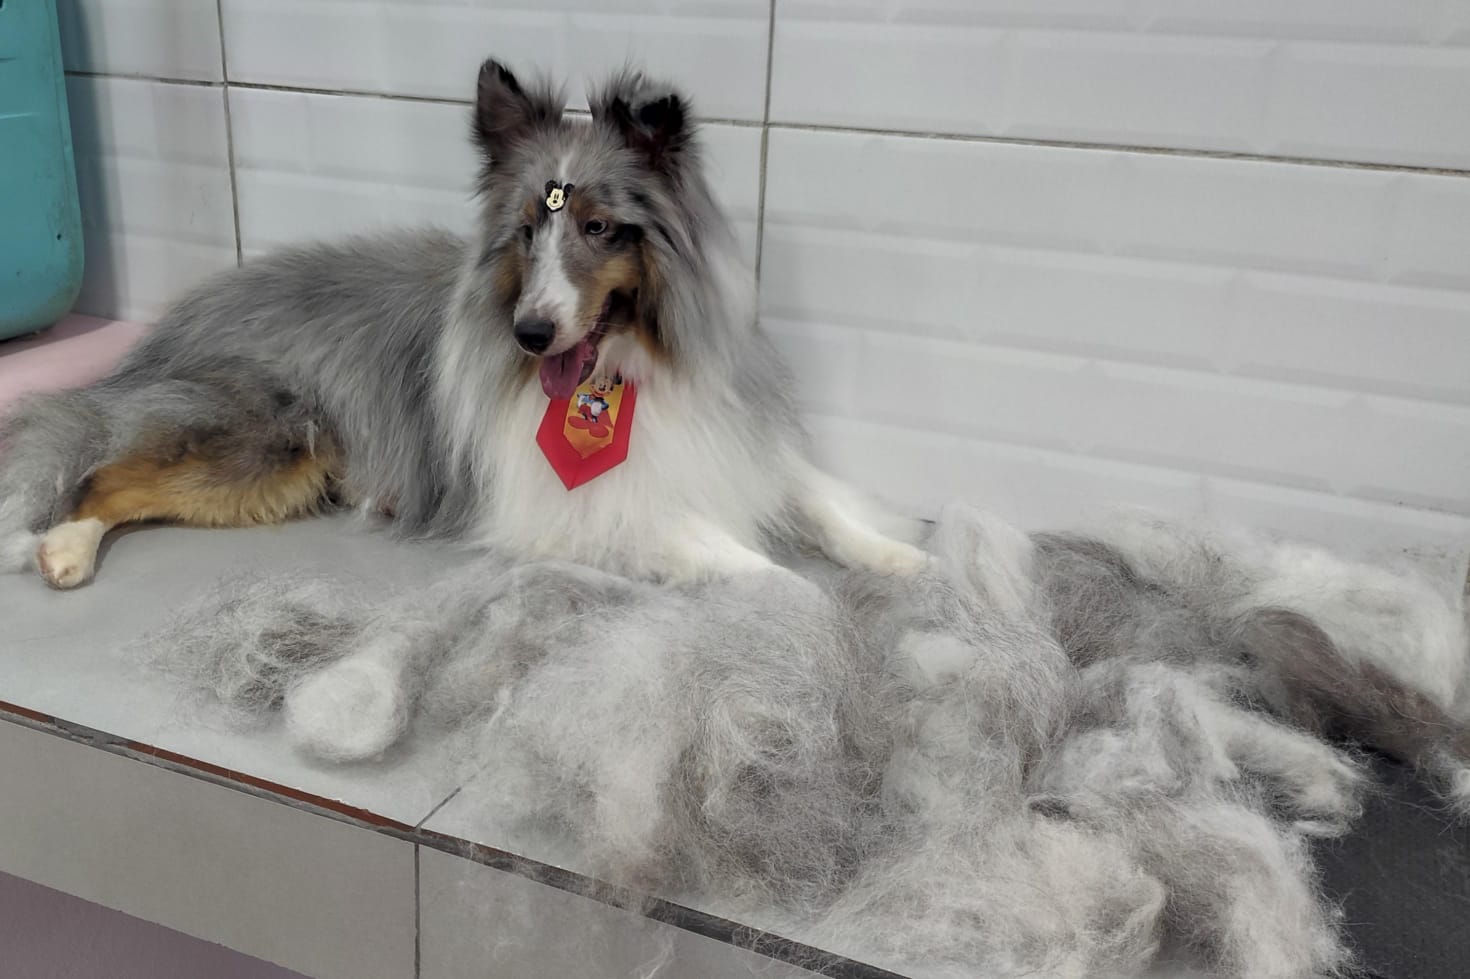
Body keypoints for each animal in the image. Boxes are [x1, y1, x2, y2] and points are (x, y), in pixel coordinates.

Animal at [0, 60, 927, 588]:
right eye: (524, 231)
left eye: (599, 227)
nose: (530, 335)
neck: (623, 371)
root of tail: (181, 317)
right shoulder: (577, 512)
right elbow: (737, 555)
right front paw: (804, 599)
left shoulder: (733, 441)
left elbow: (817, 498)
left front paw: (903, 559)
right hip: (266, 440)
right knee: (105, 479)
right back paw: (62, 548)